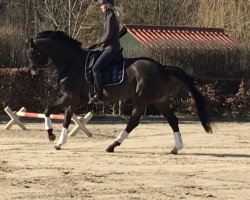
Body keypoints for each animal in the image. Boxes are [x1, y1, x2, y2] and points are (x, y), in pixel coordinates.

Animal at [26, 30, 211, 154]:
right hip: (159, 101)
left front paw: (51, 135)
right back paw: (176, 147)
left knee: (133, 122)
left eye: (32, 52)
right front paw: (59, 143)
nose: (34, 73)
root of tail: (163, 68)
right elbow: (66, 118)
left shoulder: (69, 96)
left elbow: (48, 109)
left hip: (142, 100)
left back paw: (112, 145)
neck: (71, 62)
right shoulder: (72, 99)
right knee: (173, 120)